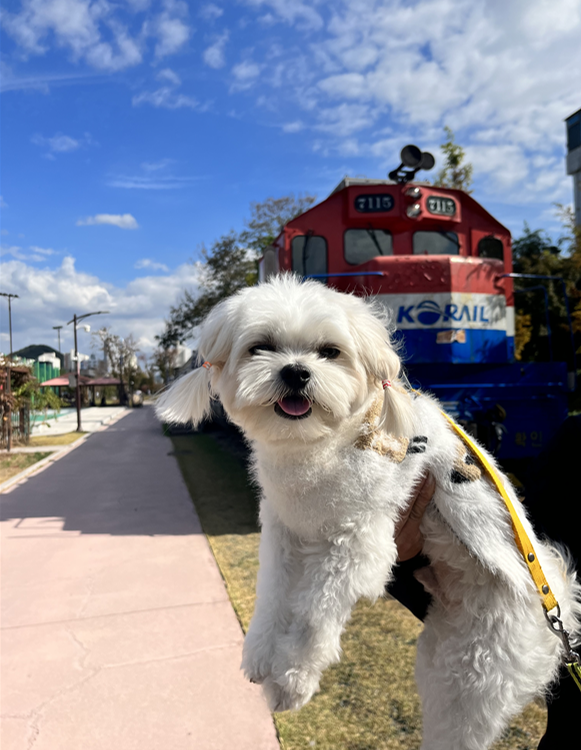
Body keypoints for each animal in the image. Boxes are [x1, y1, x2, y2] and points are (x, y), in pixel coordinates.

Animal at [157, 276, 580, 750]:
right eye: (260, 347)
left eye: (330, 351)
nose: (296, 372)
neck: (318, 447)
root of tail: (560, 611)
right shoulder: (285, 531)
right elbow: (273, 594)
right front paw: (261, 654)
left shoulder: (355, 545)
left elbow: (311, 615)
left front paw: (290, 681)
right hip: (448, 669)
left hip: (485, 676)